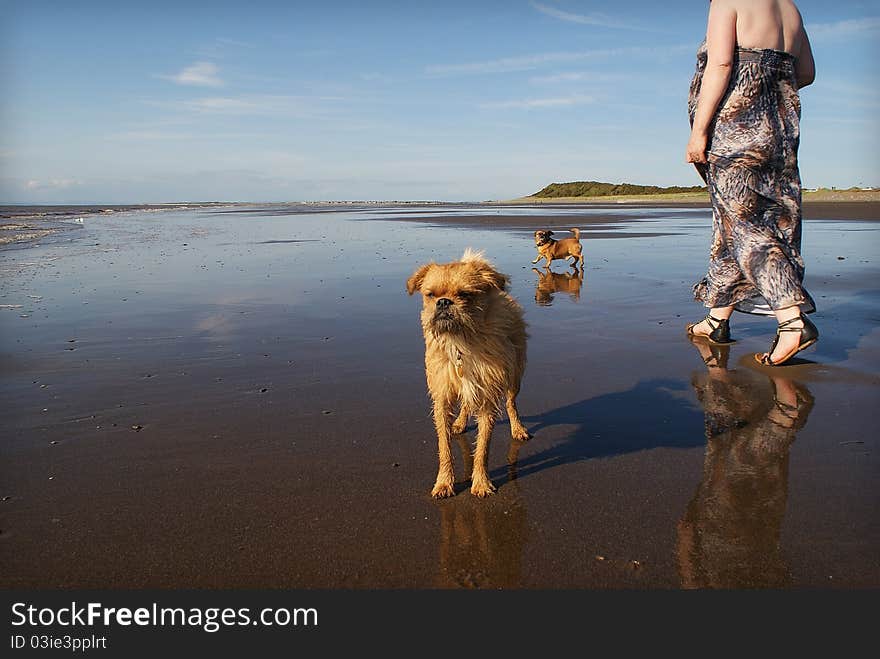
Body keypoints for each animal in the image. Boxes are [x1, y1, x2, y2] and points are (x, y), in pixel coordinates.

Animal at [406, 250, 528, 498]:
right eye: (431, 295)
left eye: (464, 295)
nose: (444, 302)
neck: (460, 340)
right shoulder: (442, 398)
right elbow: (444, 446)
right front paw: (444, 482)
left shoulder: (488, 399)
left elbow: (483, 447)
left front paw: (480, 482)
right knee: (465, 404)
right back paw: (460, 423)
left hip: (515, 376)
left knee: (511, 403)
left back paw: (517, 428)